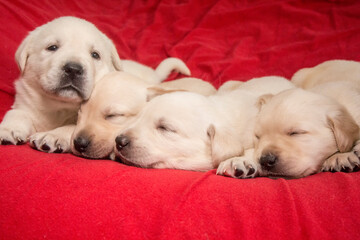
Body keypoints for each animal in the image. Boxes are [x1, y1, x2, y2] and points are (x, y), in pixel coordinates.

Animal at [0, 15, 190, 153]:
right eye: (52, 47)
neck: (58, 107)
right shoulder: (25, 101)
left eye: (95, 55)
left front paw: (53, 136)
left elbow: (72, 127)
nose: (73, 69)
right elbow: (16, 113)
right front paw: (8, 129)